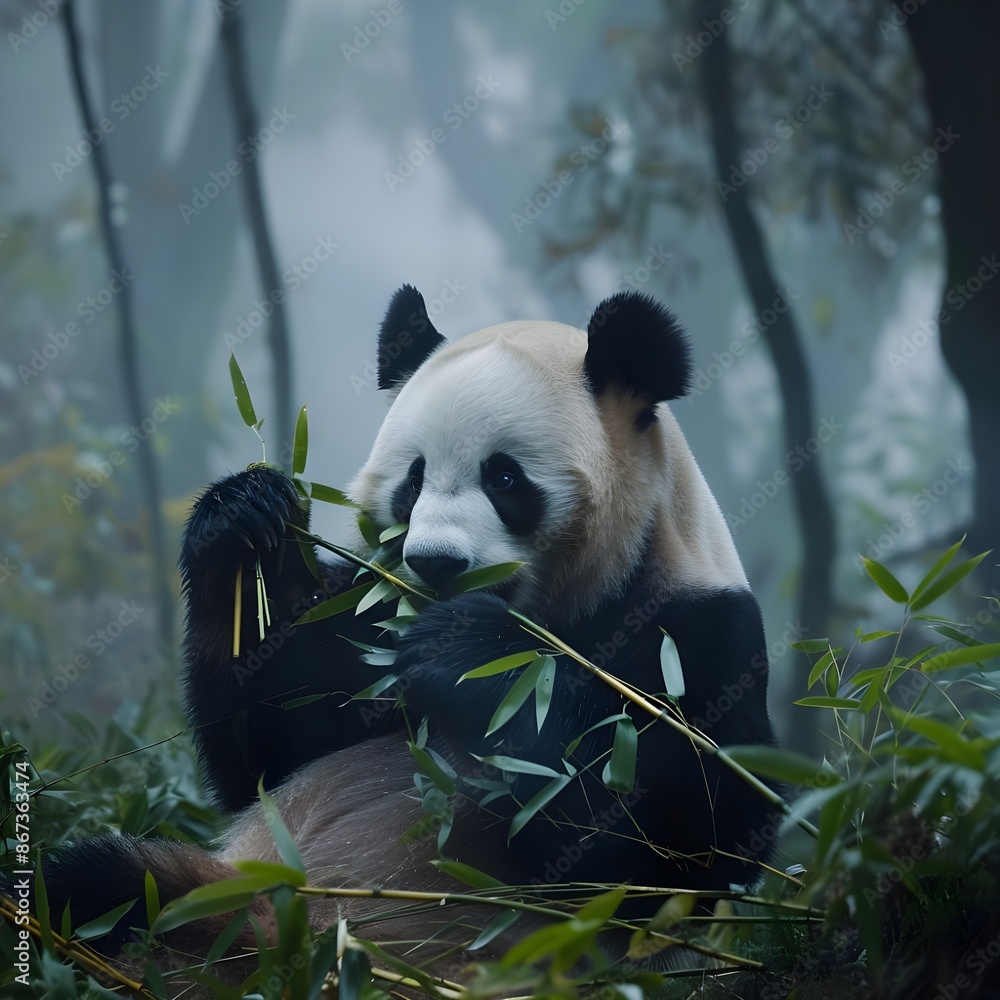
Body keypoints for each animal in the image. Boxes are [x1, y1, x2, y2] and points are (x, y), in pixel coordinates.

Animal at [36, 286, 777, 976]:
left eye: (505, 476)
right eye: (413, 481)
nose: (436, 564)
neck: (563, 612)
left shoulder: (698, 635)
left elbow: (679, 846)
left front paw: (472, 654)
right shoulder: (366, 616)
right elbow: (267, 745)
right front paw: (243, 523)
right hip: (214, 894)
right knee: (88, 889)